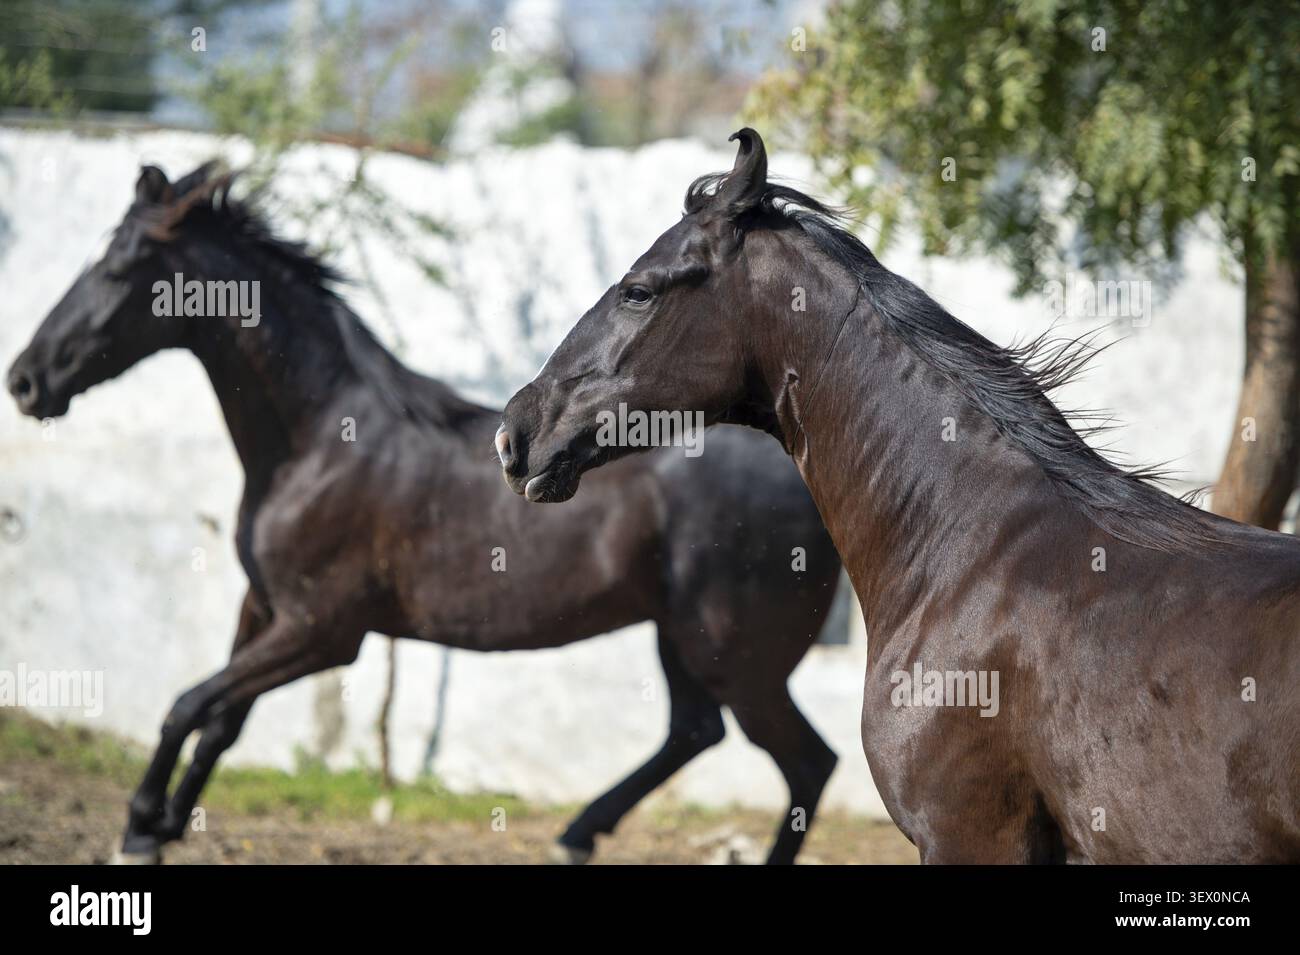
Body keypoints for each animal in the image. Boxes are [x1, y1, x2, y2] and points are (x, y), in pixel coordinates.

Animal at [6, 162, 843, 865]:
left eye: (117, 268)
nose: (25, 380)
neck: (314, 443)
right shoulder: (264, 605)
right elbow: (222, 718)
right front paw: (167, 823)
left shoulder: (323, 630)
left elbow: (187, 705)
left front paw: (138, 828)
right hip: (685, 637)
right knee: (696, 730)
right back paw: (576, 833)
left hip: (738, 654)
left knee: (808, 760)